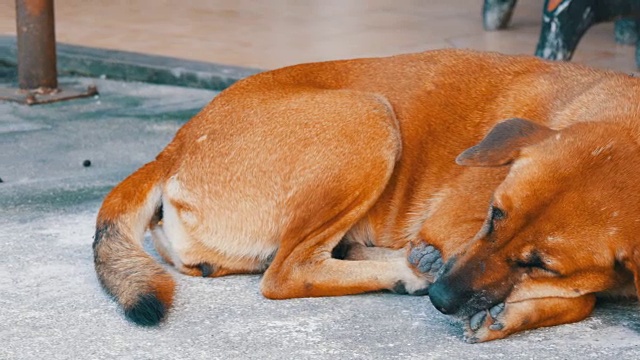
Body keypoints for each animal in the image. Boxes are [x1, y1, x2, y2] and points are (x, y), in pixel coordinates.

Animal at [92, 49, 640, 342]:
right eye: (493, 215)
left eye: (542, 263)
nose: (442, 300)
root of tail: (175, 145)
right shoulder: (455, 229)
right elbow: (587, 299)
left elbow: (584, 294)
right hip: (371, 116)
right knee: (287, 272)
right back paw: (407, 272)